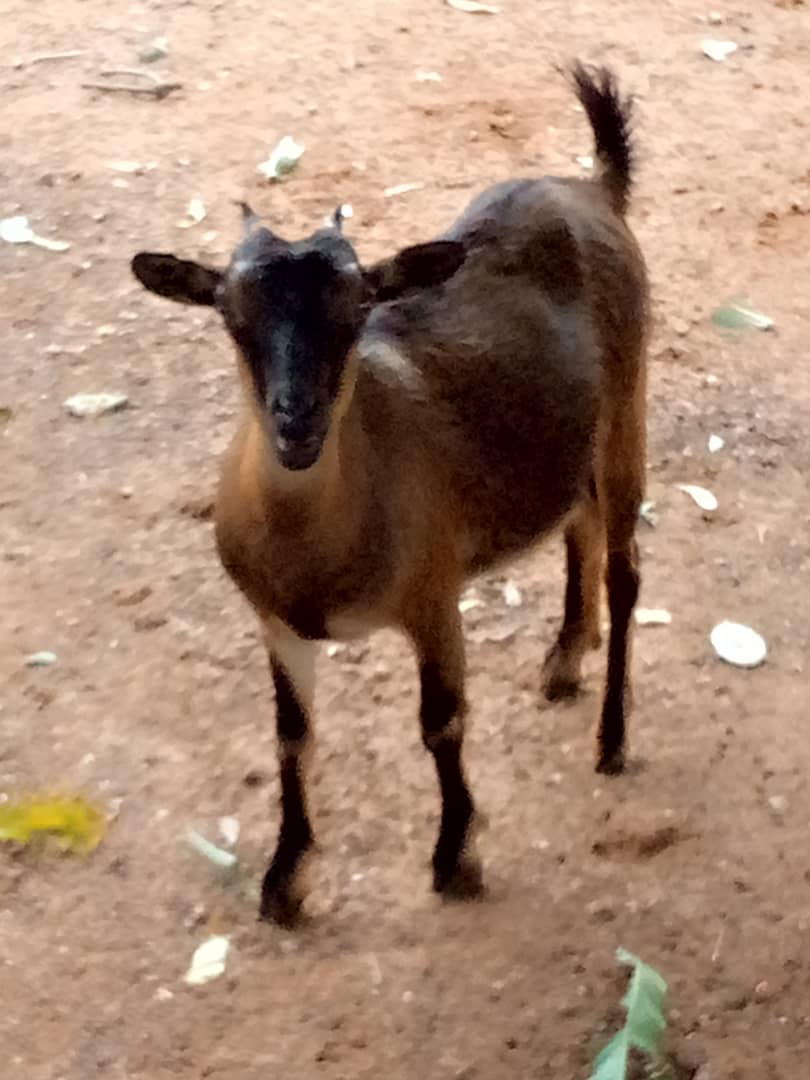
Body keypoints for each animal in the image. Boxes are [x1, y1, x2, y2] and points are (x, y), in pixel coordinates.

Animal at [131, 63, 648, 925]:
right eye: (231, 315)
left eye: (358, 311)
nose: (296, 421)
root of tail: (590, 188)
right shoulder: (278, 623)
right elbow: (292, 735)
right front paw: (285, 879)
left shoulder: (433, 598)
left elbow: (442, 722)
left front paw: (457, 858)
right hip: (567, 444)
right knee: (576, 524)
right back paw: (563, 664)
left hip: (628, 412)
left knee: (624, 569)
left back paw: (611, 740)